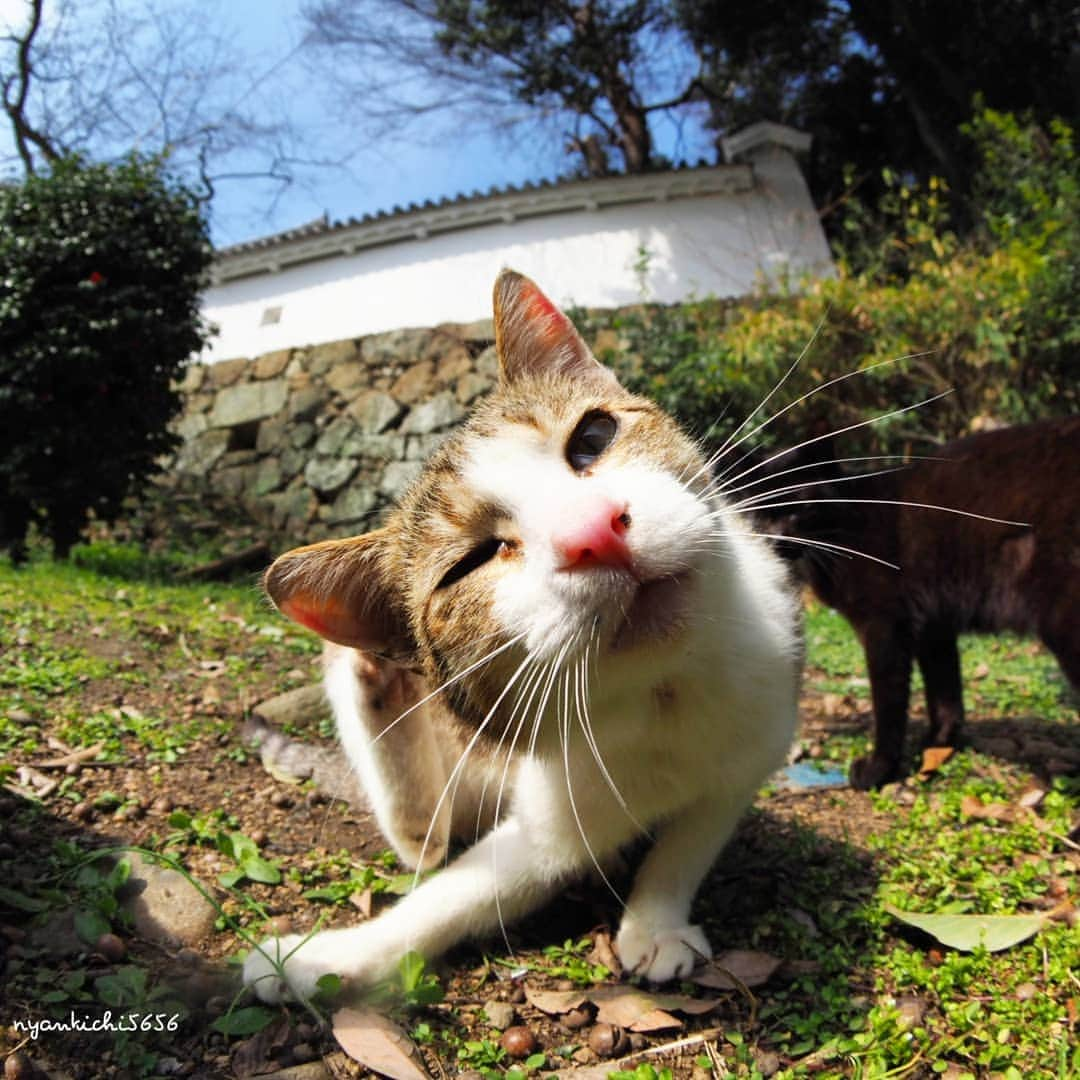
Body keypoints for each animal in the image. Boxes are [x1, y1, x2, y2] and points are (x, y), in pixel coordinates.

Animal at [245, 270, 803, 1002]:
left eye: (593, 437)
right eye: (470, 563)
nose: (593, 532)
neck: (665, 695)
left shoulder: (750, 750)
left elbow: (688, 843)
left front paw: (655, 921)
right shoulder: (558, 811)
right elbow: (448, 897)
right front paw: (325, 958)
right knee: (420, 839)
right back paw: (380, 700)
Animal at [751, 416, 1080, 790]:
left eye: (799, 508)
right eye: (761, 511)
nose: (776, 538)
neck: (844, 525)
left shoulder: (885, 627)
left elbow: (889, 705)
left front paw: (878, 770)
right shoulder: (934, 628)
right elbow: (945, 694)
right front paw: (937, 747)